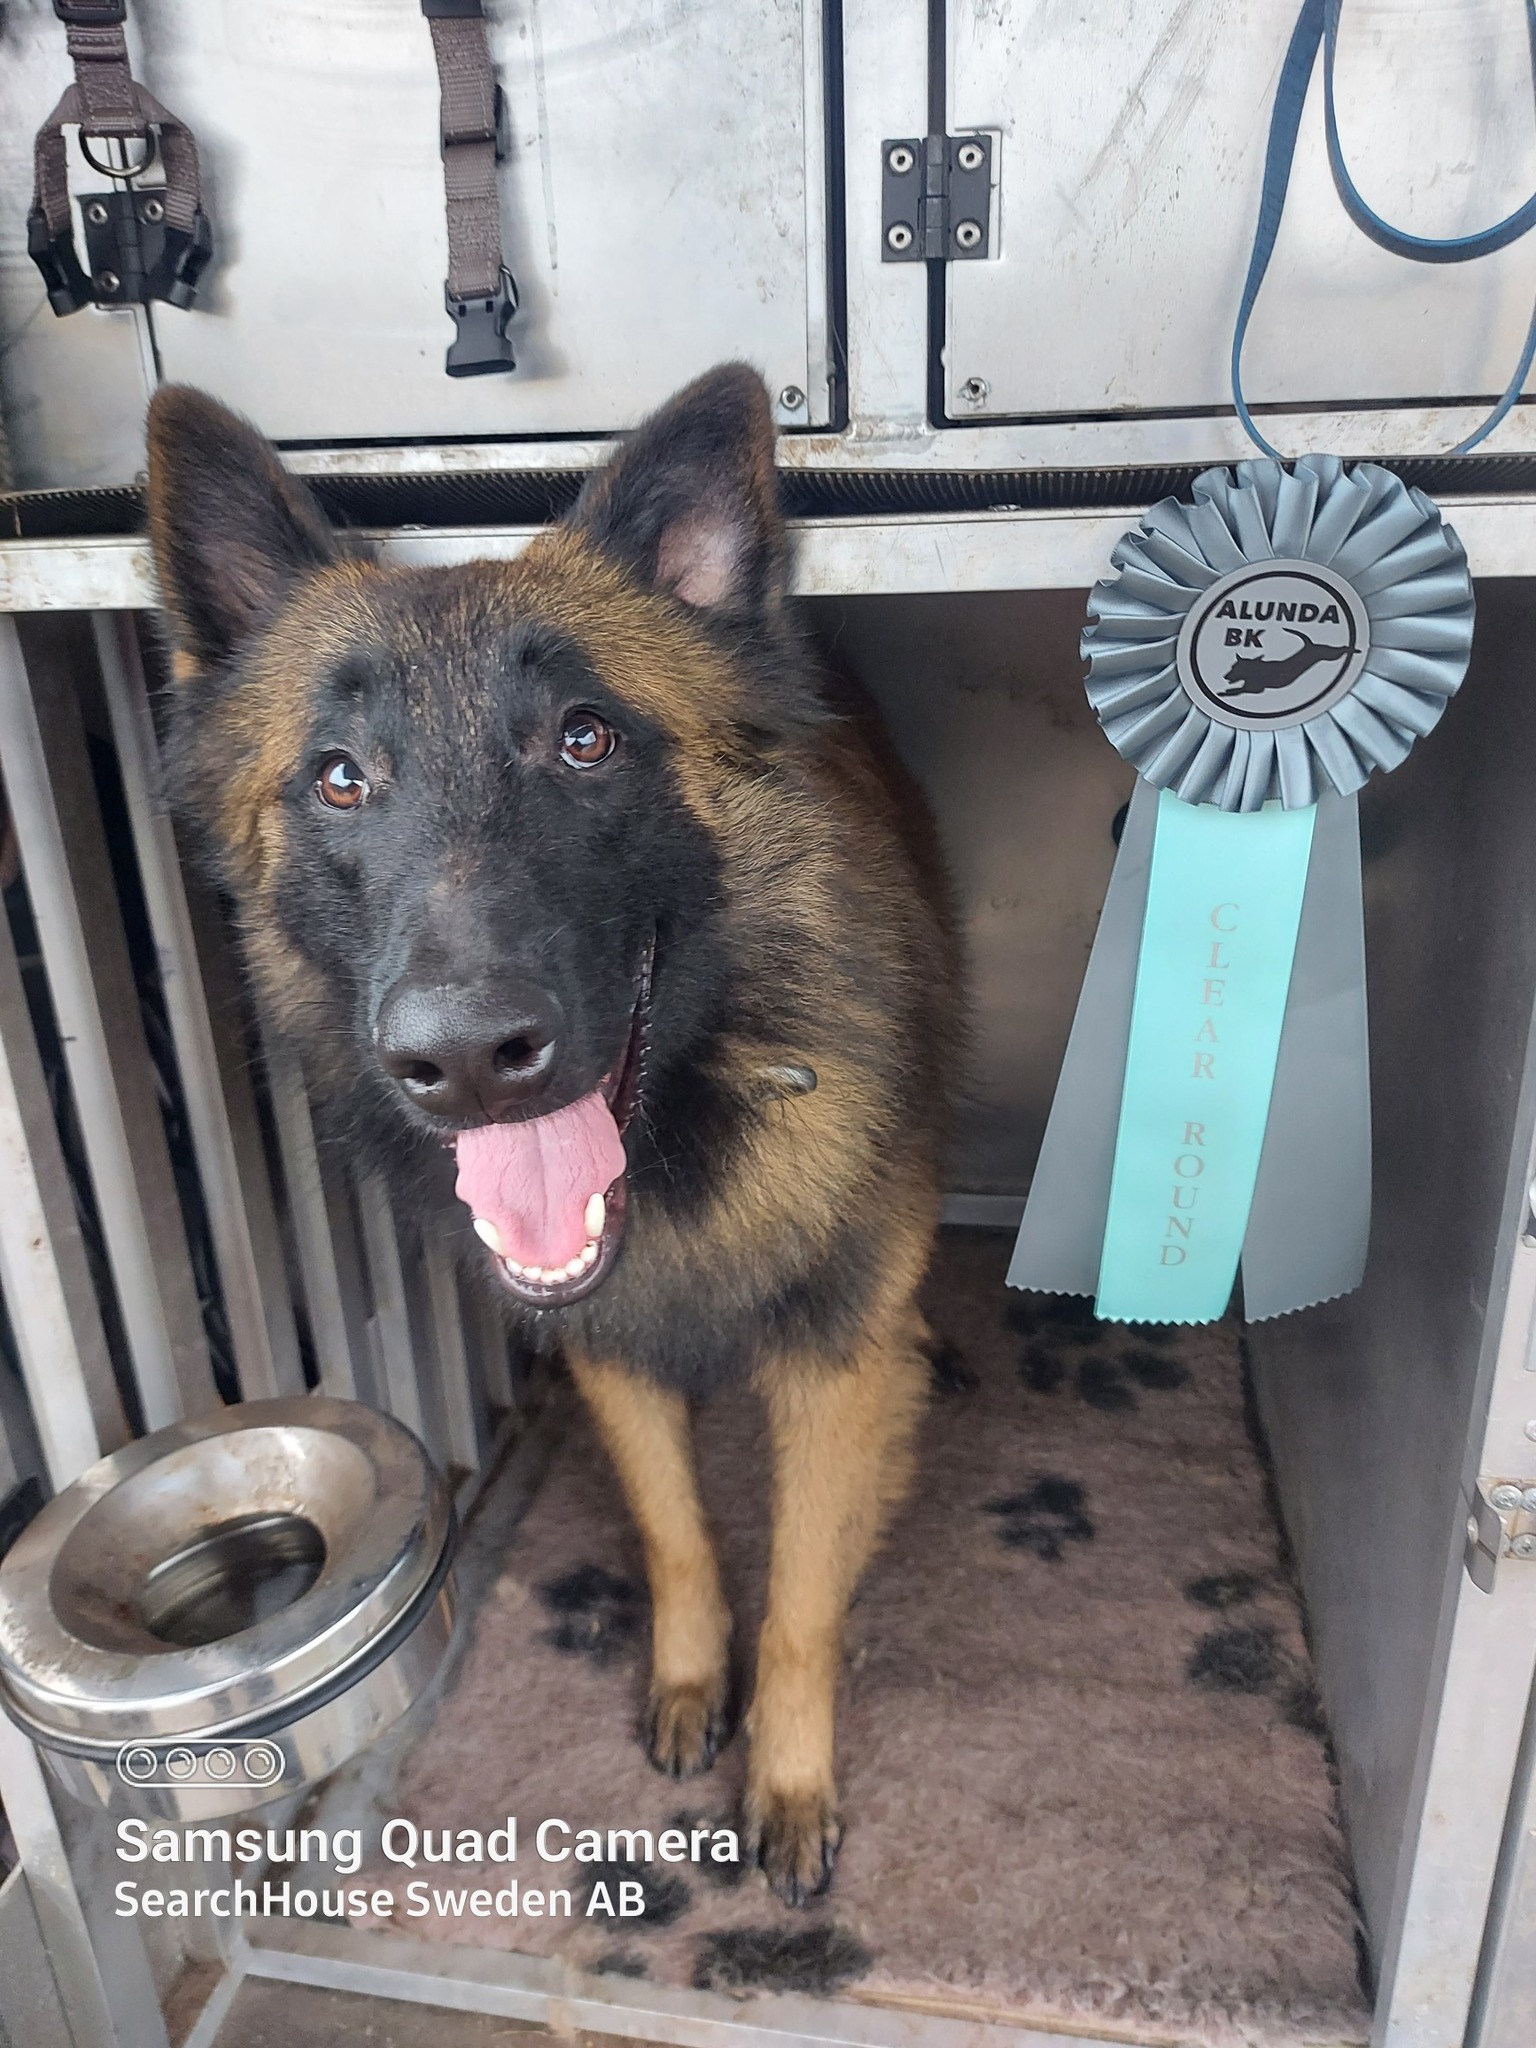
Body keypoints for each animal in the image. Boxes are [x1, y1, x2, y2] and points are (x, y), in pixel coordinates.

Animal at [145, 364, 962, 1903]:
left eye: (585, 738)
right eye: (338, 775)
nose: (468, 1061)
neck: (680, 1137)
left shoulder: (837, 1365)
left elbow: (804, 1597)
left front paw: (789, 1775)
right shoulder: (608, 1353)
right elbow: (676, 1533)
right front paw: (692, 1681)